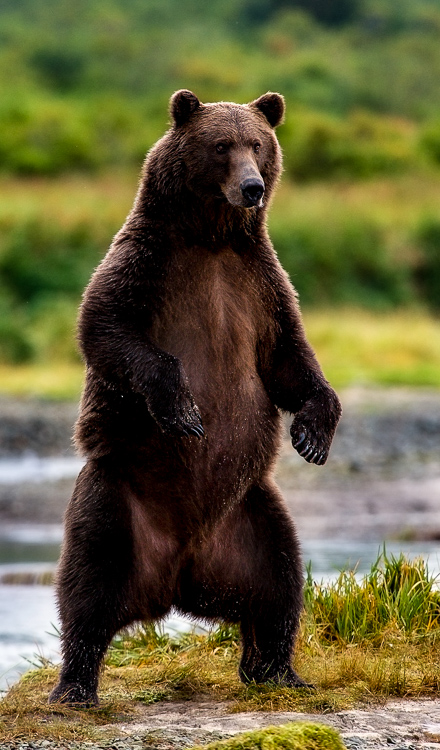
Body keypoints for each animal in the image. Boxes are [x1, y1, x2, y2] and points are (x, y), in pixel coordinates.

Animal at [49, 91, 342, 708]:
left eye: (257, 143)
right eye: (221, 145)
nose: (252, 186)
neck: (211, 236)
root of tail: (179, 572)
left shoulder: (259, 283)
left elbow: (289, 358)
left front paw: (312, 432)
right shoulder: (147, 260)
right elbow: (105, 326)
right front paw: (183, 409)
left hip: (249, 513)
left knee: (280, 580)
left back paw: (277, 669)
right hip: (118, 495)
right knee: (89, 581)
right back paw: (75, 687)